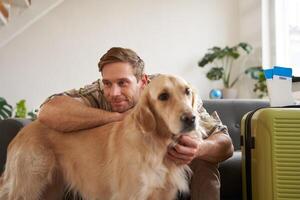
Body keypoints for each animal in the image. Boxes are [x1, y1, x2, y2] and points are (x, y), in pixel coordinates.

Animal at [0, 74, 204, 199]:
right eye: (163, 96)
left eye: (187, 91)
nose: (191, 118)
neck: (157, 142)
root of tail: (22, 131)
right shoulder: (130, 194)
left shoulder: (164, 194)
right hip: (27, 187)